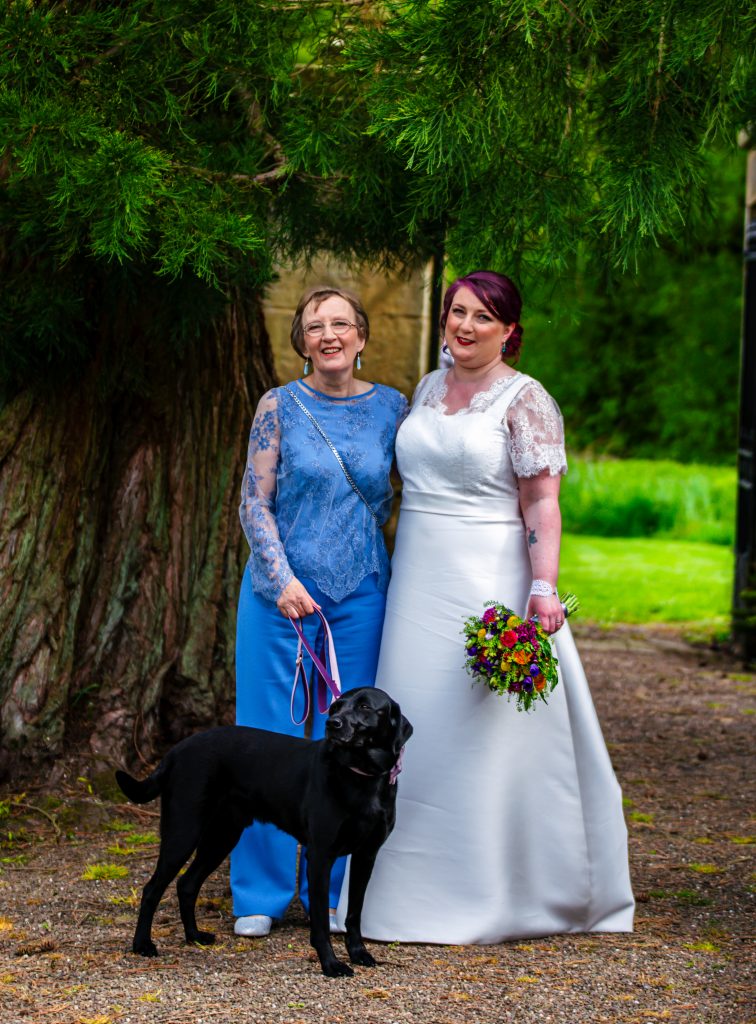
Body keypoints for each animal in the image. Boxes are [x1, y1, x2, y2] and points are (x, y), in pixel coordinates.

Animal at [116, 688, 411, 974]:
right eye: (335, 707)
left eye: (365, 707)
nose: (332, 724)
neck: (361, 776)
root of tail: (176, 751)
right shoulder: (320, 856)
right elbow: (319, 922)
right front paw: (331, 964)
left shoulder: (365, 856)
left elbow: (354, 914)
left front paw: (359, 953)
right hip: (183, 832)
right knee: (152, 888)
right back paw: (142, 944)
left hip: (221, 837)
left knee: (186, 884)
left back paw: (194, 936)